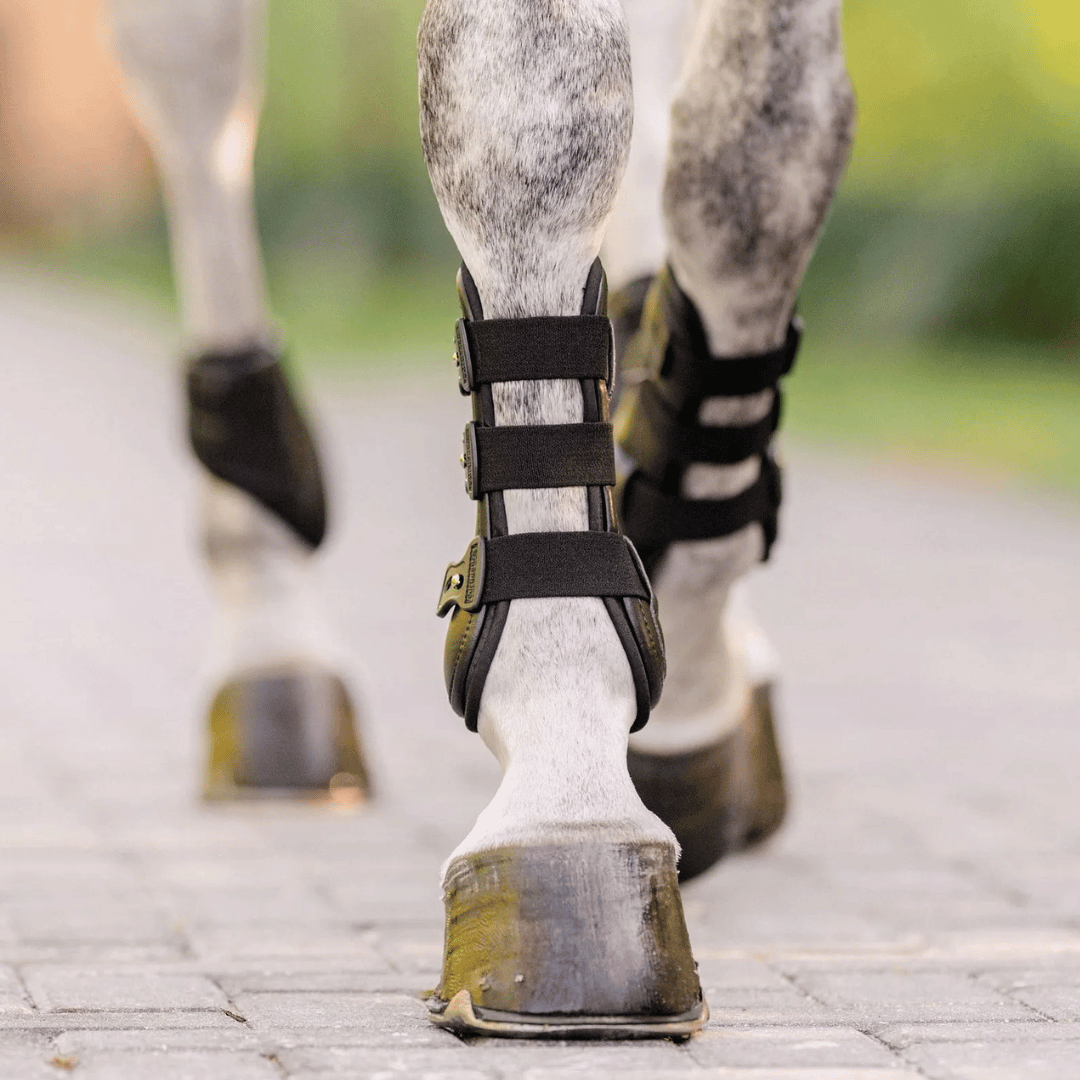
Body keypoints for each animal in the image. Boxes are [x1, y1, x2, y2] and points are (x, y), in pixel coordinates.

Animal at [107, 0, 854, 1038]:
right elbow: (530, 123)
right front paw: (568, 797)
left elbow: (765, 149)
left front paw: (688, 703)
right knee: (192, 72)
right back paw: (271, 637)